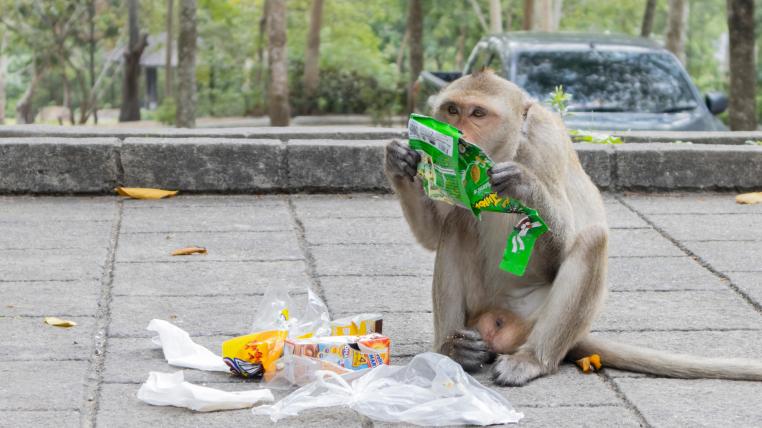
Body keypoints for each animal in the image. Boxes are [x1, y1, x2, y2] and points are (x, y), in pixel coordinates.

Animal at [385, 69, 762, 386]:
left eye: (478, 113)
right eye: (452, 109)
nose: (459, 131)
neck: (507, 150)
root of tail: (498, 324)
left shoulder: (546, 143)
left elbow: (564, 245)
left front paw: (524, 185)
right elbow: (435, 233)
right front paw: (400, 160)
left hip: (536, 320)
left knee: (592, 240)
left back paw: (531, 360)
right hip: (477, 309)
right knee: (457, 225)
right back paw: (452, 350)